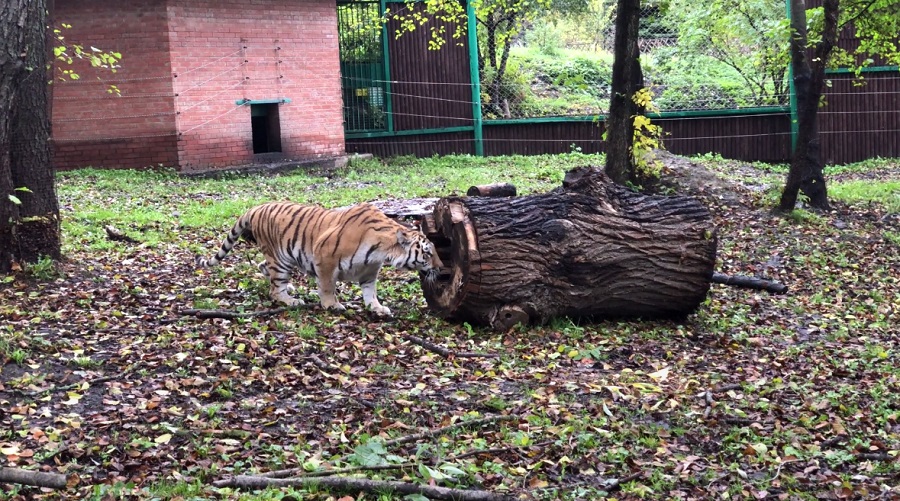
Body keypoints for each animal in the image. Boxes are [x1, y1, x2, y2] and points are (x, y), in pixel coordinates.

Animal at [195, 200, 442, 314]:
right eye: (427, 252)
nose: (441, 268)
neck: (382, 251)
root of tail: (256, 207)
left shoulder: (369, 271)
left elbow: (370, 292)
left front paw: (377, 308)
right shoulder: (325, 258)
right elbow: (327, 286)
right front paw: (331, 304)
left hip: (279, 258)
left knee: (264, 268)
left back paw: (289, 288)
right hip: (280, 258)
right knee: (274, 289)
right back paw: (290, 299)